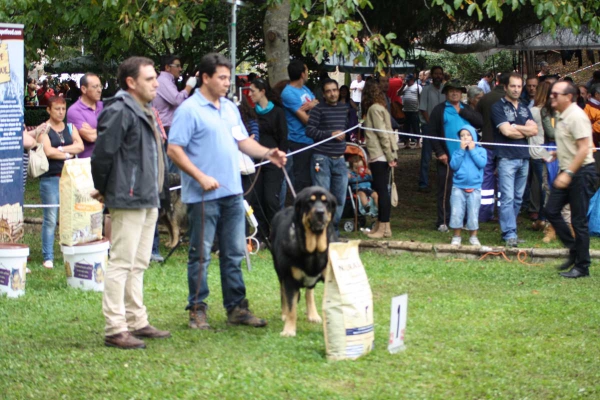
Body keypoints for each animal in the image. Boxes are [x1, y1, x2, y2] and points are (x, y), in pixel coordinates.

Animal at [270, 186, 338, 336]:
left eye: (325, 202)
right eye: (310, 202)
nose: (320, 212)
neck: (313, 250)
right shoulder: (289, 278)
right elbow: (291, 307)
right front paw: (289, 330)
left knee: (309, 292)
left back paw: (313, 314)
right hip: (279, 270)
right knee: (283, 291)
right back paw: (284, 314)